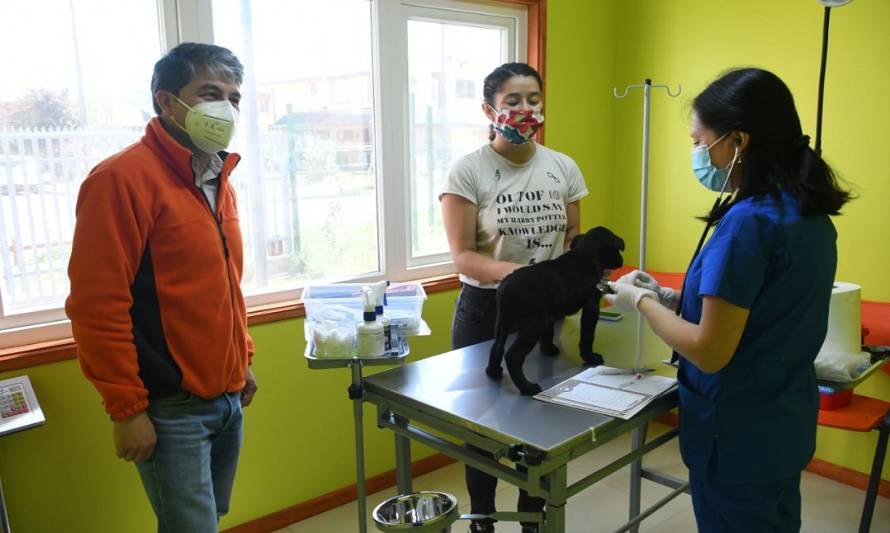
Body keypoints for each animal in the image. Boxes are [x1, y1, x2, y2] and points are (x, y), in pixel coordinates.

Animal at [486, 225, 624, 394]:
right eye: (617, 248)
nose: (622, 261)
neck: (586, 253)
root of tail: (505, 288)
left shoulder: (549, 315)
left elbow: (549, 333)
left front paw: (548, 350)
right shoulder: (591, 307)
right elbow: (587, 337)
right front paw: (590, 357)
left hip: (502, 324)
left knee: (496, 348)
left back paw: (493, 372)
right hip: (533, 326)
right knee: (513, 356)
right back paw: (527, 387)